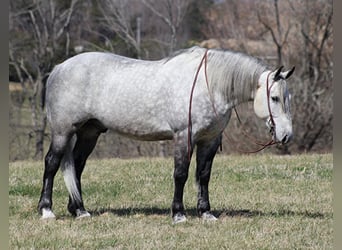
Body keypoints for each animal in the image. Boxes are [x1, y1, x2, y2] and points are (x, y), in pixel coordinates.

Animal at [37, 46, 294, 223]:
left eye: (287, 97)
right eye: (274, 98)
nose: (286, 136)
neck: (209, 85)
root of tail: (58, 68)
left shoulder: (209, 141)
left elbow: (203, 176)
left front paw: (206, 213)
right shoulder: (184, 137)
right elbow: (181, 174)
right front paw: (178, 214)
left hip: (89, 132)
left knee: (77, 166)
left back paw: (80, 210)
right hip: (62, 132)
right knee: (52, 163)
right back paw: (46, 210)